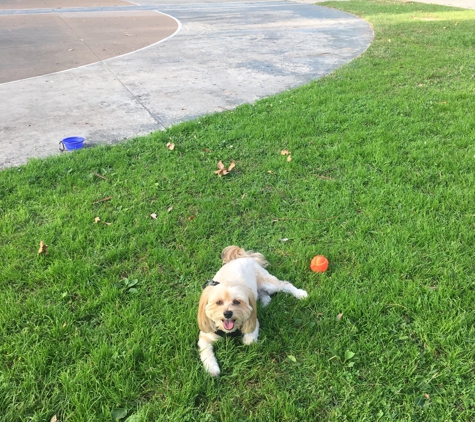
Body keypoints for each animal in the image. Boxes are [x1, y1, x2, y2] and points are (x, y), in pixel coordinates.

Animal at [198, 246, 306, 378]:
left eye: (237, 302)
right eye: (218, 302)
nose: (227, 313)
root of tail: (244, 258)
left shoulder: (253, 321)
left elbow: (249, 341)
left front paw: (246, 340)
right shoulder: (205, 336)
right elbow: (206, 353)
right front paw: (212, 369)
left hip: (268, 283)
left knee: (285, 284)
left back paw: (300, 294)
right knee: (264, 294)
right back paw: (265, 303)